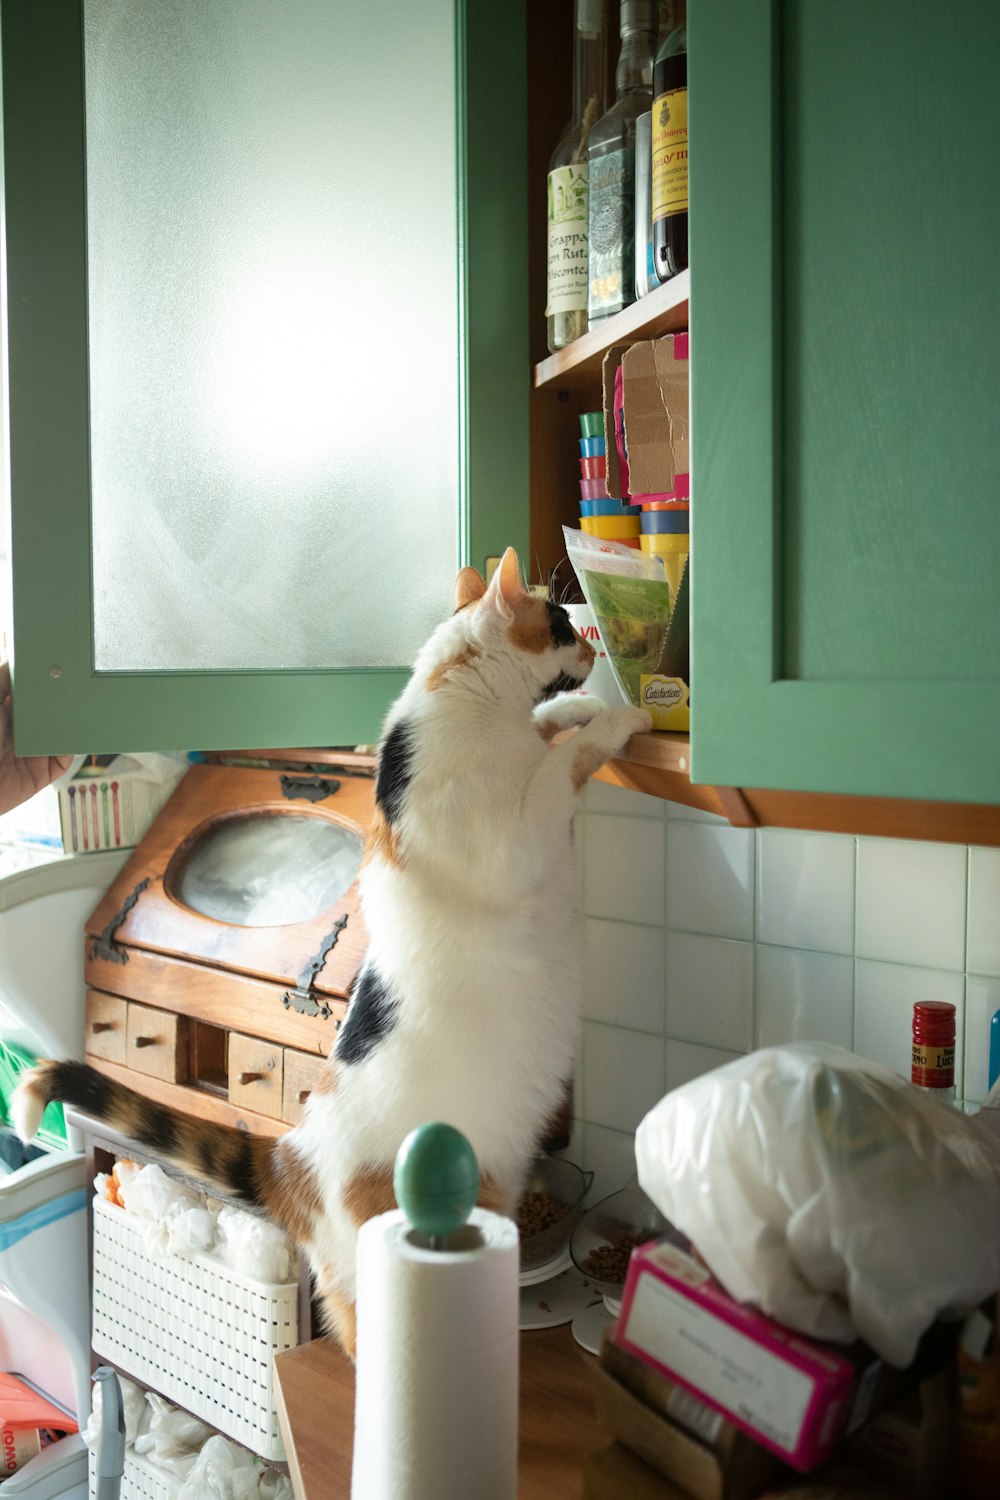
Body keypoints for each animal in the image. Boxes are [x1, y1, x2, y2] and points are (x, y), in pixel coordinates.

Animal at [11, 552, 653, 1362]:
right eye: (565, 623)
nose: (594, 654)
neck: (460, 703)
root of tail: (295, 1160)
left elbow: (548, 729)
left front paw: (571, 713)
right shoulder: (518, 833)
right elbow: (563, 763)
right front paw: (616, 719)